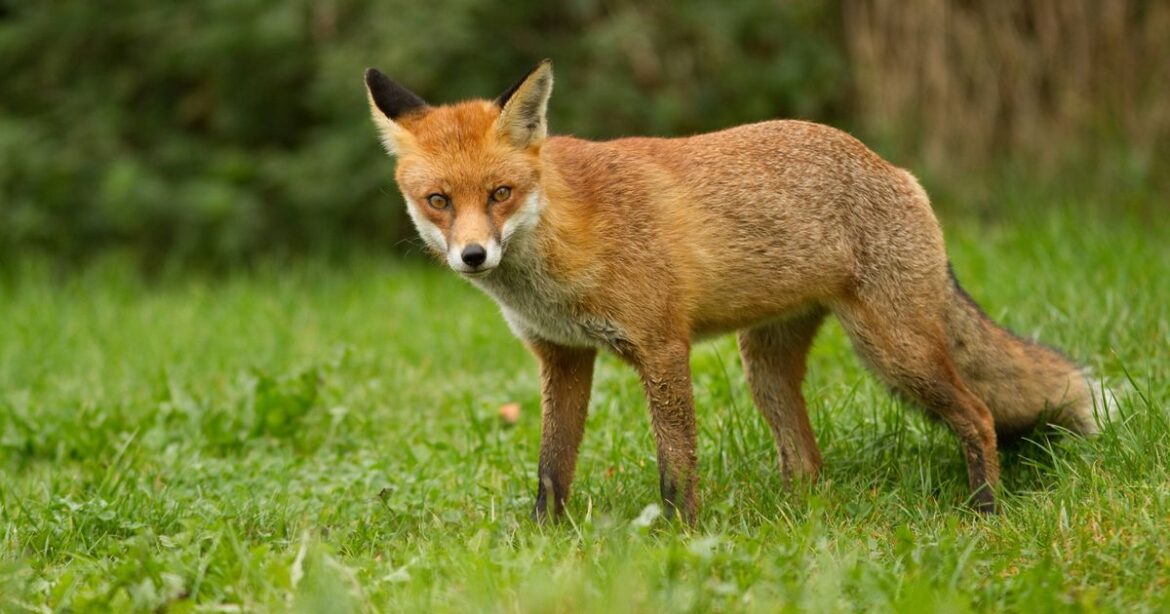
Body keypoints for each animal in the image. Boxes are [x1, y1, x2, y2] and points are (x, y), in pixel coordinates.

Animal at [364, 59, 1108, 523]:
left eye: (500, 193)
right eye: (438, 200)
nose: (473, 255)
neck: (558, 255)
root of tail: (893, 167)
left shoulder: (662, 346)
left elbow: (675, 465)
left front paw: (682, 539)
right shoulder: (564, 357)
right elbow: (552, 468)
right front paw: (544, 542)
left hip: (895, 352)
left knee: (977, 414)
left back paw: (984, 513)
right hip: (766, 367)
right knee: (807, 461)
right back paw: (799, 524)